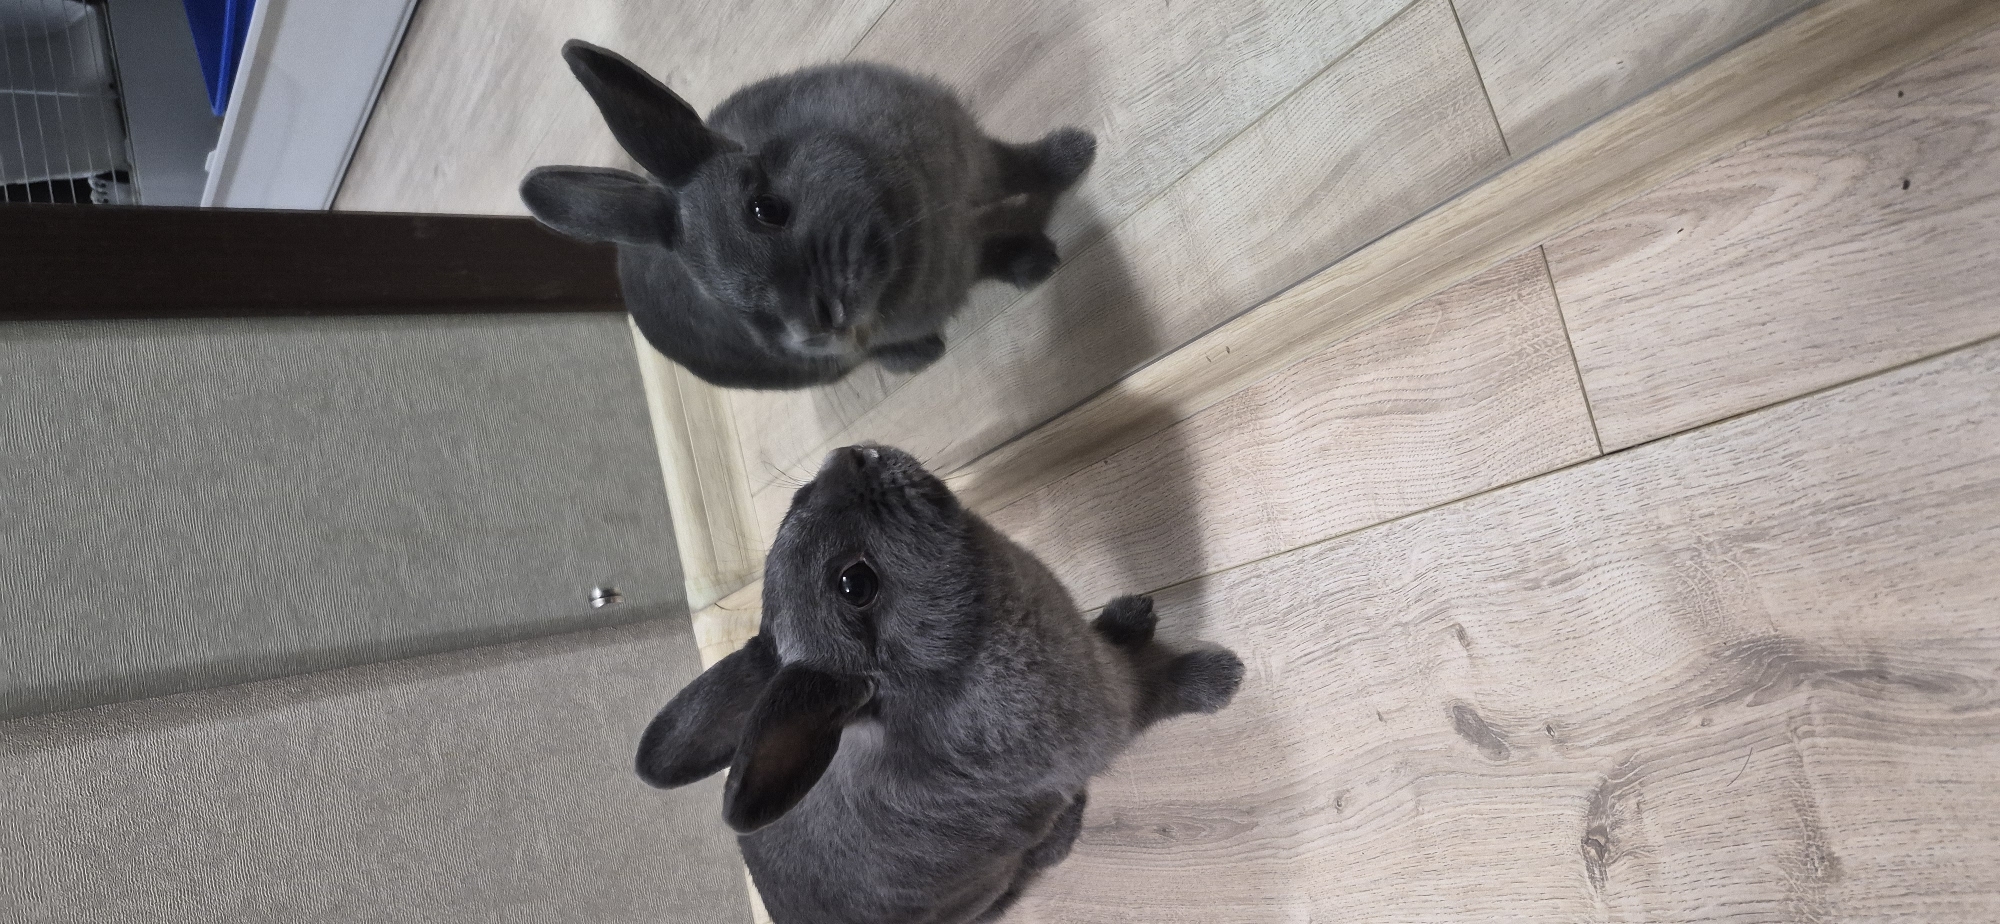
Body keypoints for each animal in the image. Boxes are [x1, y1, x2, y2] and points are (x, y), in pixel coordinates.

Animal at [520, 41, 1097, 390]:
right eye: (721, 298)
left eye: (767, 209)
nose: (818, 325)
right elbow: (989, 249)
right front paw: (1037, 262)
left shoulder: (971, 159)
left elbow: (1019, 168)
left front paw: (1077, 152)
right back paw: (919, 355)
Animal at [635, 444, 1244, 923]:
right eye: (855, 584)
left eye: (800, 498)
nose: (850, 457)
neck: (955, 657)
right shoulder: (1108, 715)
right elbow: (1156, 692)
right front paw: (1221, 677)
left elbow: (1117, 643)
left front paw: (1130, 616)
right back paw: (1067, 828)